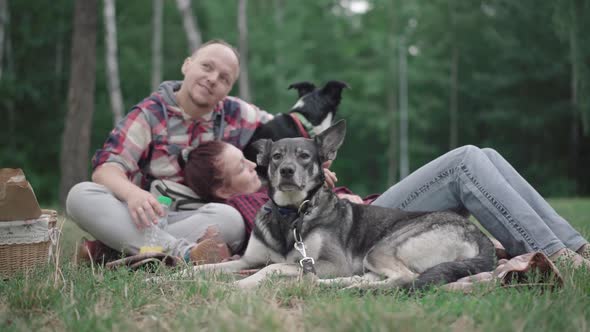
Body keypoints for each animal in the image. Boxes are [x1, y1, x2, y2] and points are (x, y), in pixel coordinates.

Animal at [158, 120, 500, 290]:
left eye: (304, 156)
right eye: (277, 156)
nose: (286, 171)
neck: (291, 213)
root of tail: (477, 234)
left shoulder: (327, 262)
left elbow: (274, 267)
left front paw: (238, 287)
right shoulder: (245, 260)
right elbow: (205, 269)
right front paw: (163, 278)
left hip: (381, 248)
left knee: (404, 278)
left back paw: (348, 288)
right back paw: (336, 285)